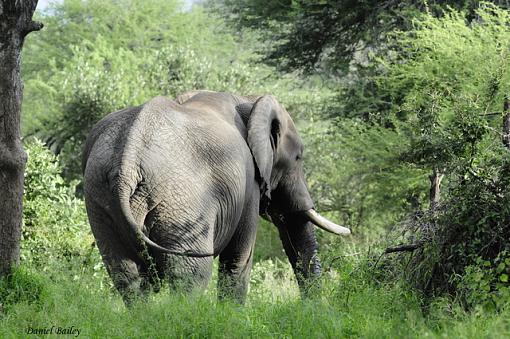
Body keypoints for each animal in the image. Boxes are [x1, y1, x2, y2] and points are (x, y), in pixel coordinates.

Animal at [82, 91, 350, 306]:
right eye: (298, 158)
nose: (312, 309)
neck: (249, 100)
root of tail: (128, 162)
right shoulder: (249, 182)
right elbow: (238, 256)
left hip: (100, 202)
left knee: (126, 275)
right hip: (182, 202)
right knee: (189, 275)